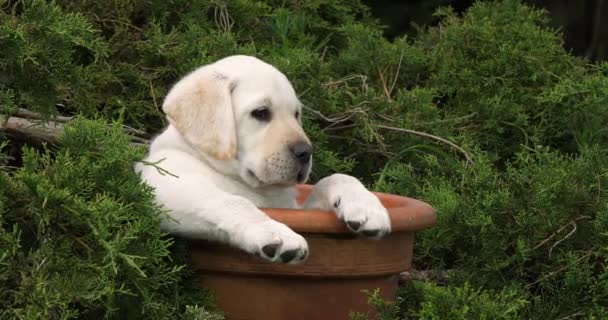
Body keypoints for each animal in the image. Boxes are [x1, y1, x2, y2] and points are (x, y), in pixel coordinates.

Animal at [135, 55, 392, 264]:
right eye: (261, 113)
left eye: (296, 114)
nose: (305, 152)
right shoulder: (164, 185)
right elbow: (233, 201)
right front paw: (273, 233)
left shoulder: (297, 208)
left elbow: (335, 178)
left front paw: (365, 206)